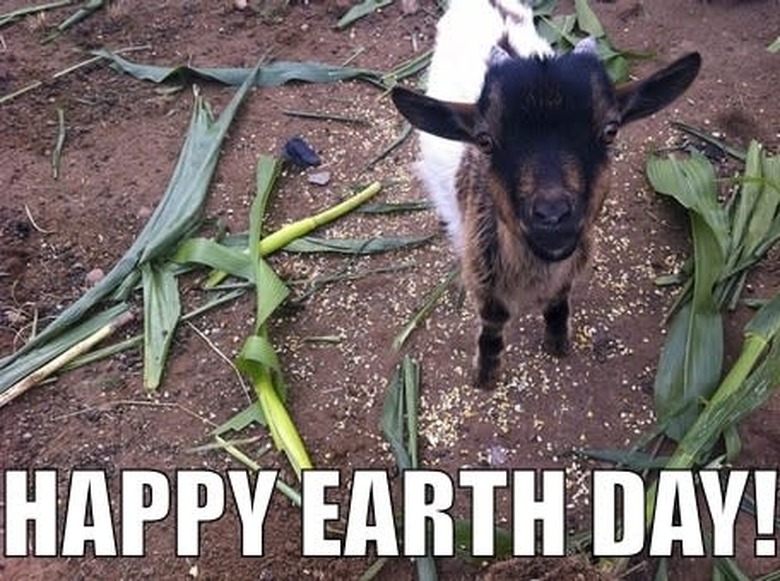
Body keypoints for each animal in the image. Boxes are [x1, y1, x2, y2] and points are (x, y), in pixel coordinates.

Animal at [391, 0, 701, 389]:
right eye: (484, 140)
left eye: (611, 130)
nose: (552, 216)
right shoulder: (481, 275)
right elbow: (492, 321)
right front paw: (487, 374)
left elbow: (559, 300)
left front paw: (557, 343)